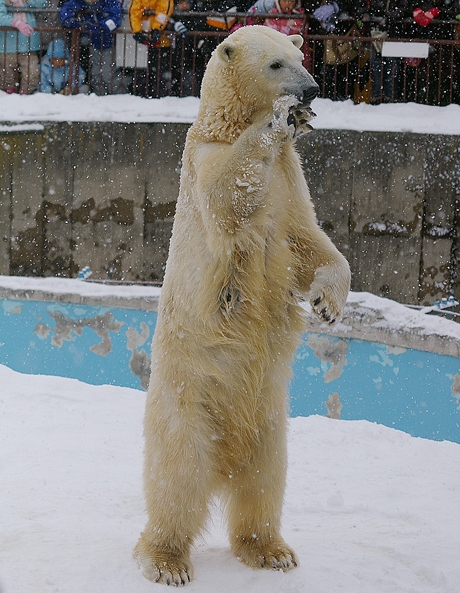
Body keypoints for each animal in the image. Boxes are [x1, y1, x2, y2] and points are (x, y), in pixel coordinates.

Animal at [135, 25, 350, 584]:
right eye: (276, 64)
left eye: (301, 53)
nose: (312, 89)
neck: (226, 121)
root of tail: (224, 458)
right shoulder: (205, 158)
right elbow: (227, 194)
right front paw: (278, 119)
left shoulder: (291, 183)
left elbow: (309, 243)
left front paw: (327, 303)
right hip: (187, 397)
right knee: (177, 476)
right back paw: (165, 559)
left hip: (270, 420)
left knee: (264, 480)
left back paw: (271, 550)